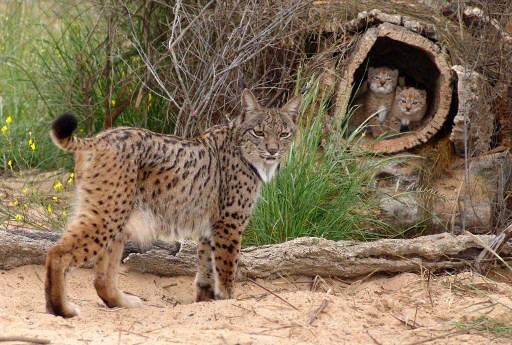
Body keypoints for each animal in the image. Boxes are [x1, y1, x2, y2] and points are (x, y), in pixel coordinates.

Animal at [46, 89, 302, 318]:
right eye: (258, 132)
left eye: (284, 134)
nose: (273, 150)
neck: (244, 149)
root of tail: (99, 138)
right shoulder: (229, 223)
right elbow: (226, 267)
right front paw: (229, 301)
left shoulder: (209, 225)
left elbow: (206, 265)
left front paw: (205, 300)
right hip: (108, 212)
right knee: (56, 252)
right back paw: (61, 310)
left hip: (117, 213)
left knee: (101, 278)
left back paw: (123, 303)